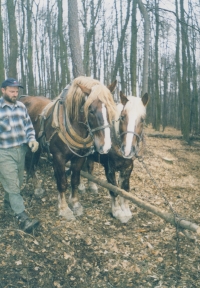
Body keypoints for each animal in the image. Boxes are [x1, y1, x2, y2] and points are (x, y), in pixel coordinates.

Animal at [19, 76, 115, 220]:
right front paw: (64, 208)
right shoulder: (59, 157)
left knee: (33, 163)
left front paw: (75, 204)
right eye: (91, 110)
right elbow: (63, 182)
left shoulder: (80, 158)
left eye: (110, 109)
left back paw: (38, 187)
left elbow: (74, 180)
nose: (105, 146)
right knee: (29, 163)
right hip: (29, 146)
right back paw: (37, 187)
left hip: (38, 147)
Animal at [79, 91, 148, 223]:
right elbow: (114, 190)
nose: (127, 150)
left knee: (89, 168)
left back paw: (92, 186)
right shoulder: (109, 168)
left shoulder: (127, 168)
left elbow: (124, 189)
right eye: (122, 117)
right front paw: (116, 211)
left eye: (142, 119)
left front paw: (125, 210)